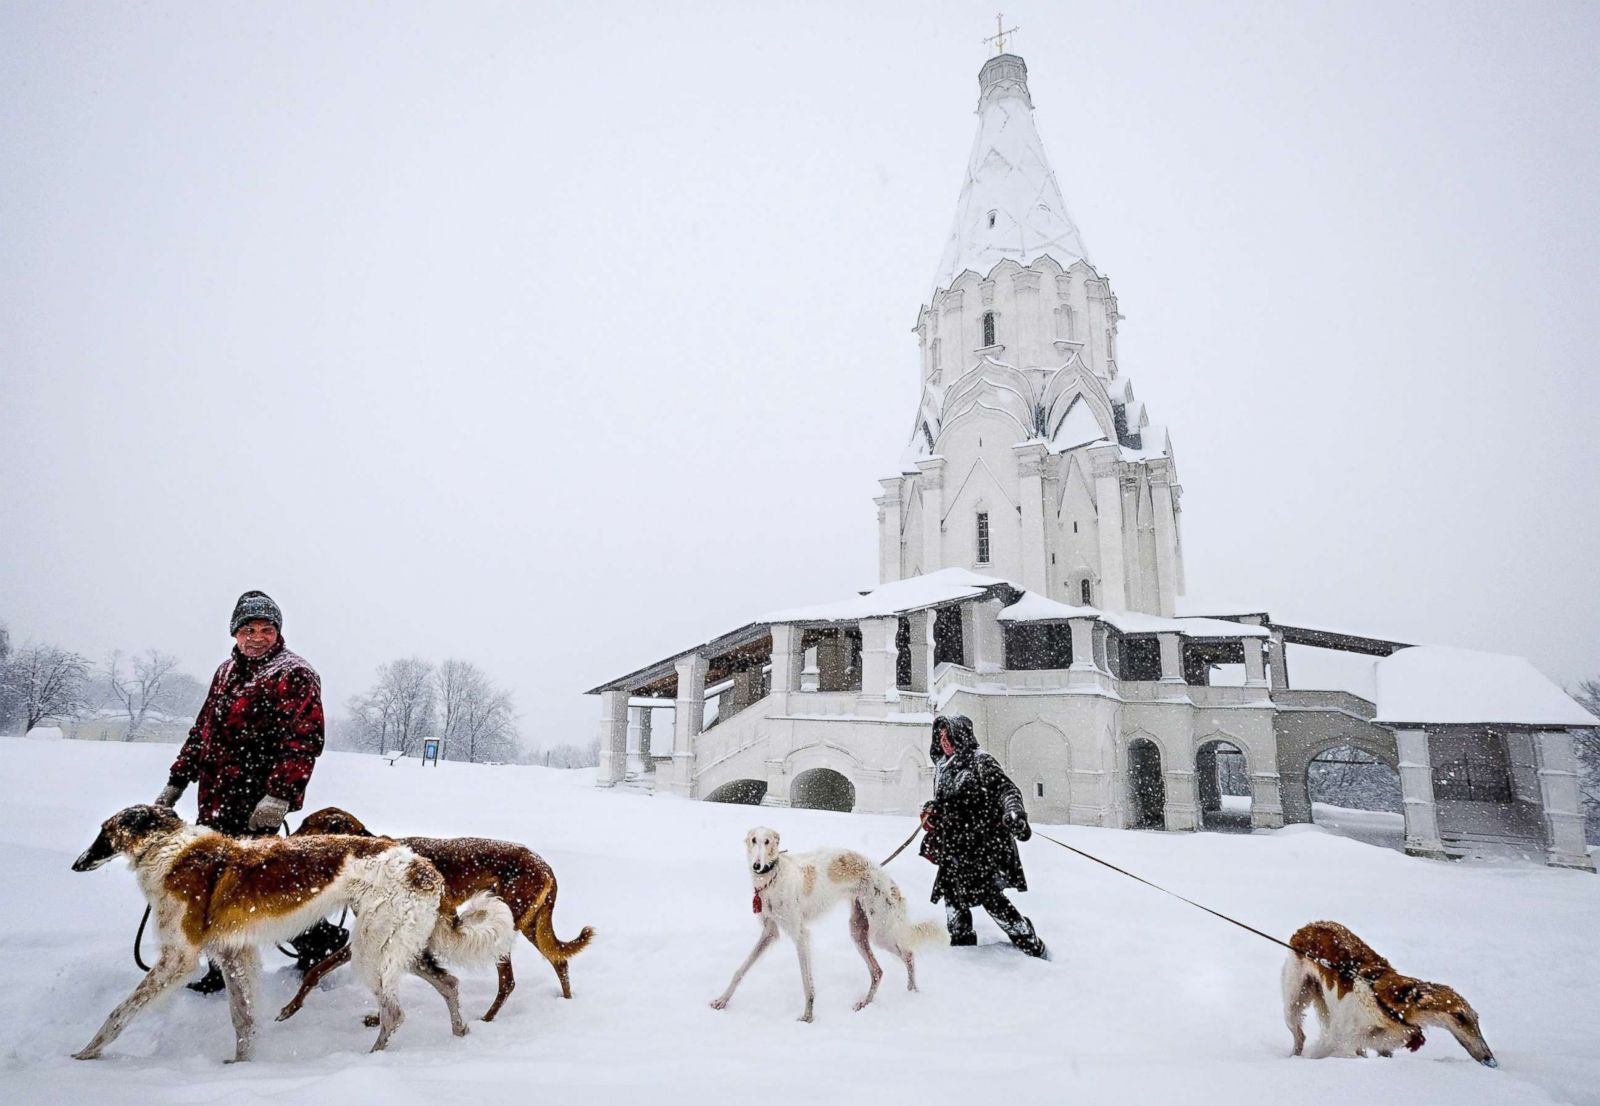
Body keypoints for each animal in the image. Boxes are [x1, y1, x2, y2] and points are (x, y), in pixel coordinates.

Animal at [72, 803, 512, 1062]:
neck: (170, 849)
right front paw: (239, 1065)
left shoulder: (178, 959)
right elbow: (243, 1019)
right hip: (400, 948)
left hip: (371, 952)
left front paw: (85, 1054)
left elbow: (119, 1012)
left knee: (395, 1013)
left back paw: (370, 1060)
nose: (77, 864)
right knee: (448, 983)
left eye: (104, 831)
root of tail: (425, 867)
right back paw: (459, 1034)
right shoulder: (234, 954)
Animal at [707, 825, 940, 1024]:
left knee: (908, 954)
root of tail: (885, 877)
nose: (757, 866)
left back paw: (912, 992)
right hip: (858, 930)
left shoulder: (800, 934)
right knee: (877, 971)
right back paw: (865, 1003)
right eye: (754, 840)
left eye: (768, 841)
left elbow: (807, 983)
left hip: (880, 932)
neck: (774, 877)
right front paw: (722, 1000)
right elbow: (740, 970)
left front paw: (808, 1017)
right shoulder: (770, 932)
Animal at [1280, 921, 1491, 1069]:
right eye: (1459, 1016)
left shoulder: (1383, 1046)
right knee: (1300, 1037)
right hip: (1293, 1004)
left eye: (1476, 1018)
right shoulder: (1336, 1043)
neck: (1387, 1006)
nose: (1490, 1059)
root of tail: (1308, 926)